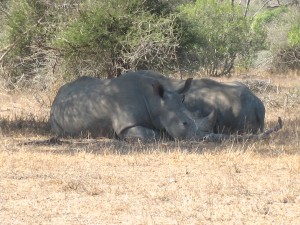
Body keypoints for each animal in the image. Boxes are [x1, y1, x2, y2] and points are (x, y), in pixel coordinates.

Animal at [50, 73, 217, 142]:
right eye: (184, 123)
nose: (205, 138)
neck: (156, 102)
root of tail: (58, 93)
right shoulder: (125, 125)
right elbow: (152, 134)